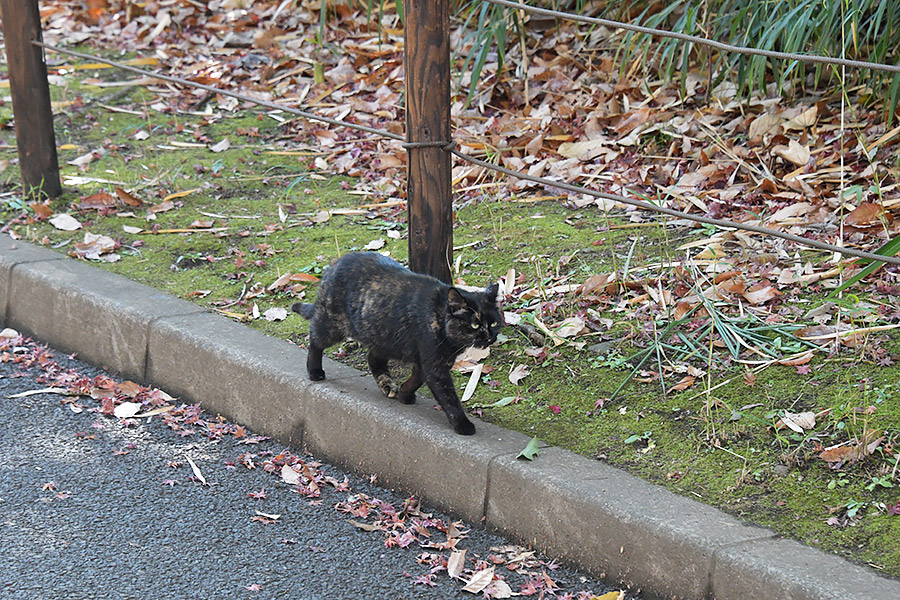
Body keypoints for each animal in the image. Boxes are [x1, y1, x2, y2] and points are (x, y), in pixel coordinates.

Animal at [294, 252, 500, 436]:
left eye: (494, 323)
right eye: (475, 325)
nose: (490, 337)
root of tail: (335, 264)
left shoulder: (430, 361)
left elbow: (417, 379)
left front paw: (404, 395)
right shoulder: (435, 365)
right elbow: (448, 397)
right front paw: (462, 424)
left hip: (383, 337)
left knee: (373, 358)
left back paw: (387, 385)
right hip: (332, 325)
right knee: (315, 340)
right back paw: (315, 371)